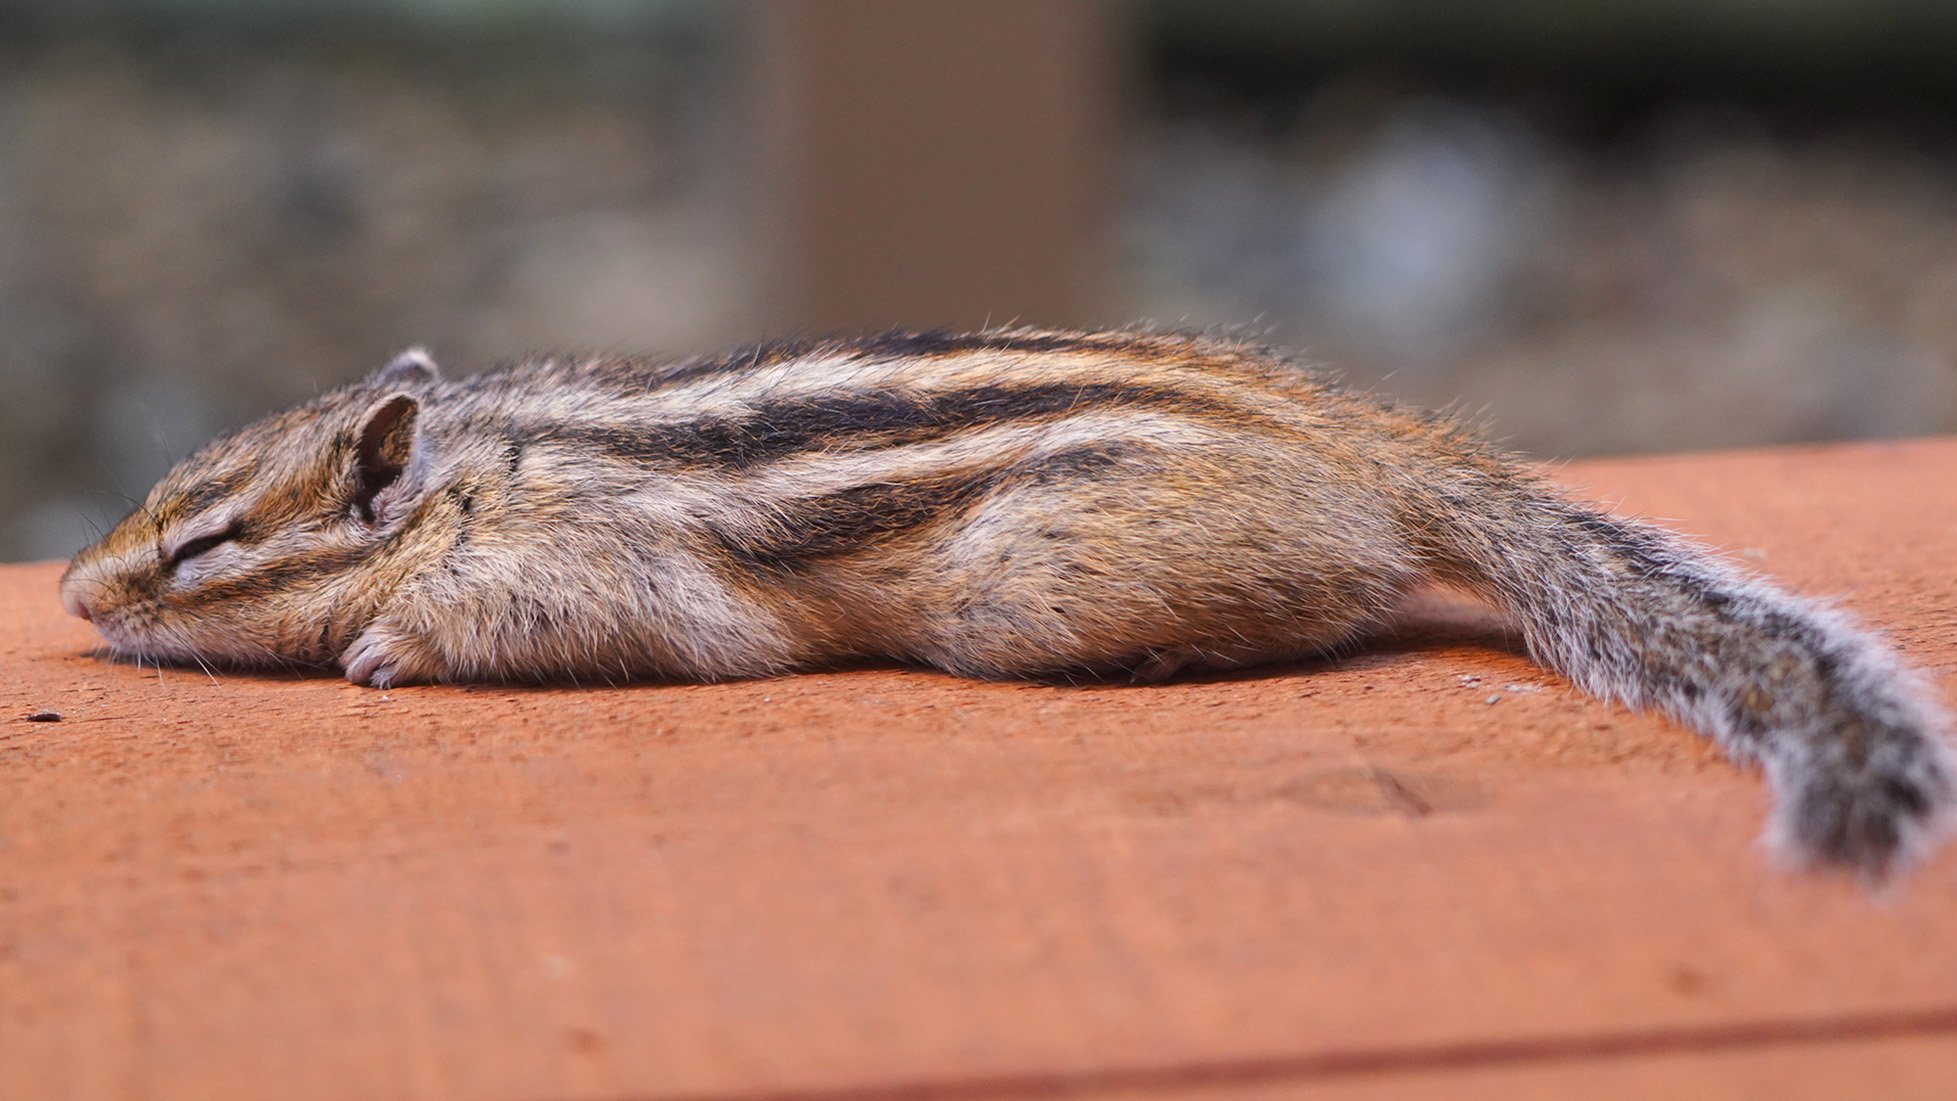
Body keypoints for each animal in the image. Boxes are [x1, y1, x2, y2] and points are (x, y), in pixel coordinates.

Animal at [58, 327, 1955, 878]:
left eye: (209, 543)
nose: (73, 589)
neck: (481, 468)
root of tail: (1364, 441)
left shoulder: (597, 563)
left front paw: (385, 649)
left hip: (1026, 582)